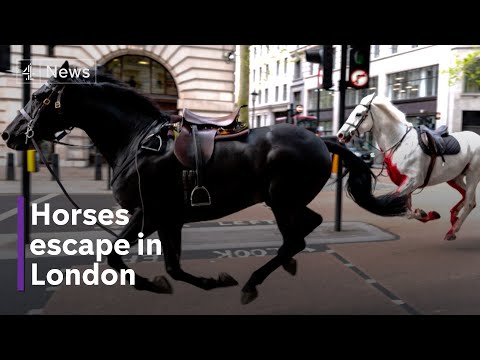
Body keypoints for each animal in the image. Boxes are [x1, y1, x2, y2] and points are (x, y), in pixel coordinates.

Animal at [2, 62, 408, 304]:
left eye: (39, 96)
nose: (9, 134)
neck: (136, 140)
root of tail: (321, 140)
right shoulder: (166, 218)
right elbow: (170, 266)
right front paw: (204, 281)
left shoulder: (149, 214)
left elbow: (118, 257)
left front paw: (157, 284)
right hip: (286, 200)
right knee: (307, 226)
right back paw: (284, 265)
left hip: (281, 200)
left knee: (296, 237)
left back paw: (253, 282)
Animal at [338, 95, 480, 242]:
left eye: (358, 114)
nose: (341, 135)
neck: (400, 143)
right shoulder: (406, 184)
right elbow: (406, 210)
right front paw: (426, 214)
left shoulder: (413, 181)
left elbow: (395, 206)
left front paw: (424, 214)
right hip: (454, 177)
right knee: (467, 197)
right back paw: (454, 217)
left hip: (473, 174)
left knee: (470, 202)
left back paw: (452, 230)